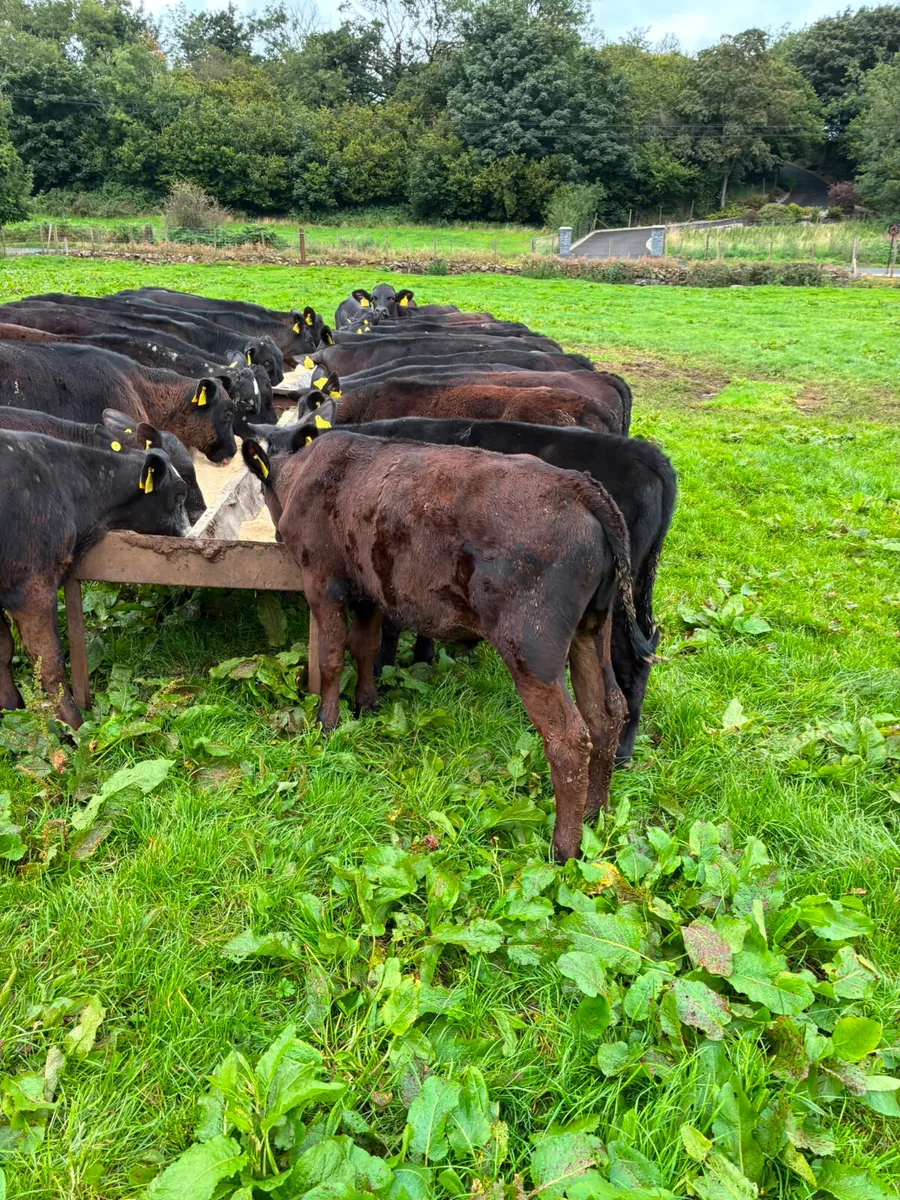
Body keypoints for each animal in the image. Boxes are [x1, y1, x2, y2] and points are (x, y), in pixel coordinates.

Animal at [0, 433, 189, 728]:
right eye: (179, 494)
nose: (189, 532)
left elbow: (3, 649)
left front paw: (10, 708)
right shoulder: (33, 586)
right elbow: (49, 662)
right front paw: (75, 726)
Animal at [325, 417, 676, 761]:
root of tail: (651, 455)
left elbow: (390, 625)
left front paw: (384, 670)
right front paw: (421, 659)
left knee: (629, 661)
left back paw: (623, 750)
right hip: (632, 590)